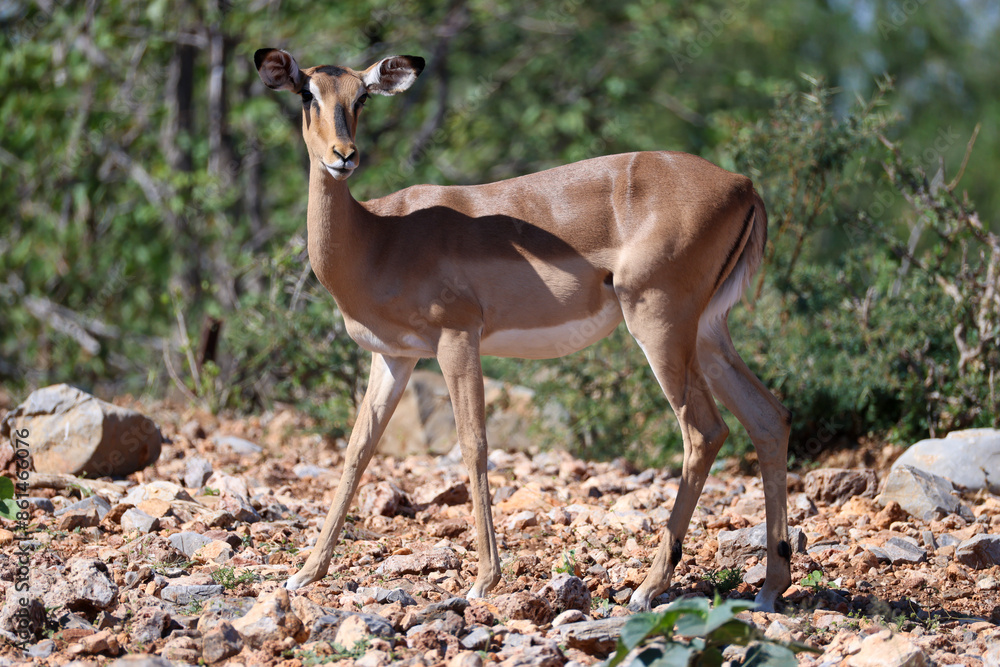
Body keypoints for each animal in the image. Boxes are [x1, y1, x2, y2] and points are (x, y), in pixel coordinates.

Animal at [255, 47, 793, 611]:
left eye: (361, 96)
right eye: (307, 93)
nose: (344, 155)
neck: (378, 236)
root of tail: (742, 185)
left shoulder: (457, 339)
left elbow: (473, 443)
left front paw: (483, 580)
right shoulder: (394, 356)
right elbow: (357, 451)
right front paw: (305, 574)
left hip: (660, 326)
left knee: (705, 432)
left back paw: (649, 588)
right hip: (707, 333)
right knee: (768, 418)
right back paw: (770, 588)